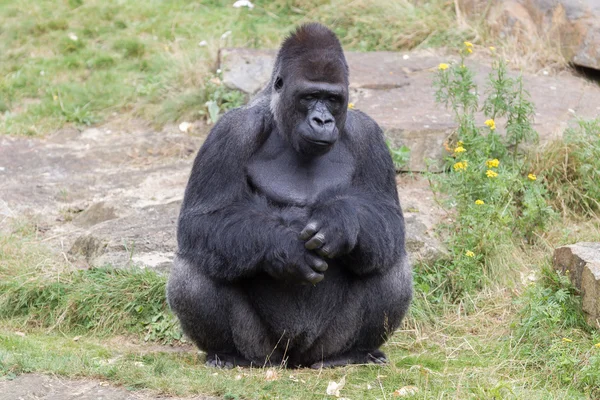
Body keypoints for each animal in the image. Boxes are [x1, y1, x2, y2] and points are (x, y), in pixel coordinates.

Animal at [169, 22, 412, 368]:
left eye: (332, 99)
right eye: (309, 96)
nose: (322, 120)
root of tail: (296, 358)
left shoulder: (369, 135)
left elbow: (387, 218)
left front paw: (340, 222)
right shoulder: (231, 131)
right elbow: (203, 221)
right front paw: (285, 249)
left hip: (325, 344)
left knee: (388, 262)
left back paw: (354, 353)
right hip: (265, 349)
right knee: (194, 267)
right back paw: (227, 354)